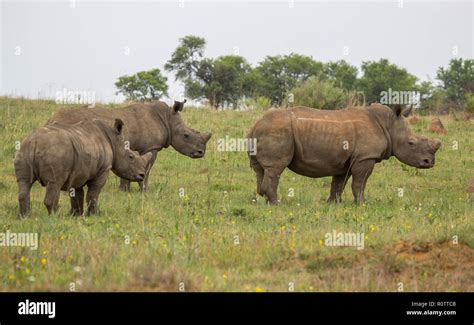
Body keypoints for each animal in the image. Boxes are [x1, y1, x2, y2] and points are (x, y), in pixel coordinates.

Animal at [14, 118, 152, 215]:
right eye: (131, 157)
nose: (142, 175)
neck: (114, 141)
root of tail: (35, 141)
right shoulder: (103, 169)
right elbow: (93, 194)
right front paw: (93, 214)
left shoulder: (79, 170)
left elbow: (77, 193)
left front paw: (76, 214)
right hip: (56, 152)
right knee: (55, 183)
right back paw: (53, 217)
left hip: (23, 150)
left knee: (24, 182)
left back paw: (24, 216)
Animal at [48, 98, 211, 190]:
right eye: (186, 135)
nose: (201, 153)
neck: (167, 119)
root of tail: (51, 119)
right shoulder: (150, 147)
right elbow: (147, 168)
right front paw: (143, 189)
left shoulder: (132, 147)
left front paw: (124, 189)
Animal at [248, 104, 440, 204]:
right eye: (411, 143)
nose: (429, 162)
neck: (389, 125)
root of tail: (255, 125)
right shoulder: (365, 157)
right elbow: (359, 183)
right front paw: (362, 204)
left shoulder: (343, 162)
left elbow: (338, 184)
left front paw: (333, 204)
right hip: (278, 131)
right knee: (275, 169)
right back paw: (277, 204)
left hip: (264, 132)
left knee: (261, 170)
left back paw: (266, 202)